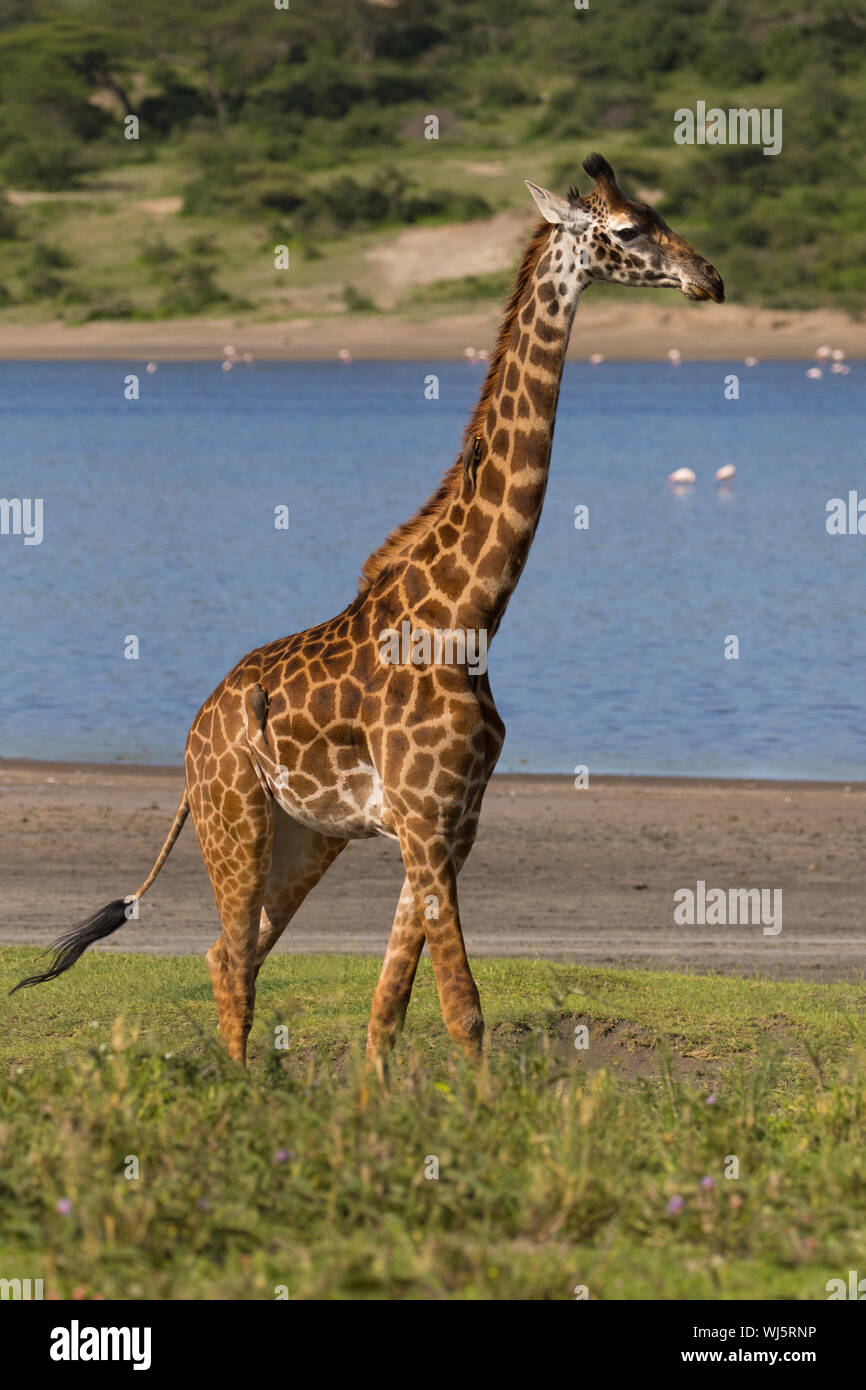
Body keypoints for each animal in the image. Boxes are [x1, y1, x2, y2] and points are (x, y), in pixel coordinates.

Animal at [12, 154, 723, 1066]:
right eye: (631, 229)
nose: (709, 277)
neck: (470, 613)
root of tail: (195, 734)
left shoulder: (451, 823)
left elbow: (388, 1011)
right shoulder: (422, 817)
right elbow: (462, 1008)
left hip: (307, 837)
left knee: (233, 954)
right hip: (233, 820)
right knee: (231, 956)